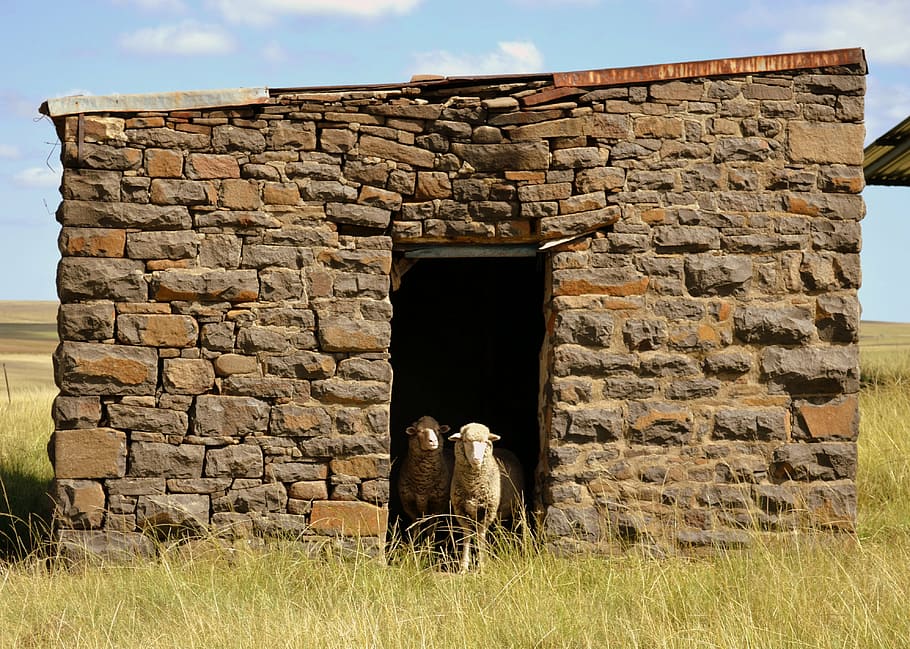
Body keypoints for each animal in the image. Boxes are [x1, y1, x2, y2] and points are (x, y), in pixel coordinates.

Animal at [448, 422, 502, 573]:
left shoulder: (487, 511)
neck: (473, 486)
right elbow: (467, 535)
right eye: (466, 441)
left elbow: (480, 535)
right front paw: (463, 567)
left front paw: (481, 566)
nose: (477, 459)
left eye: (484, 441)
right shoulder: (460, 510)